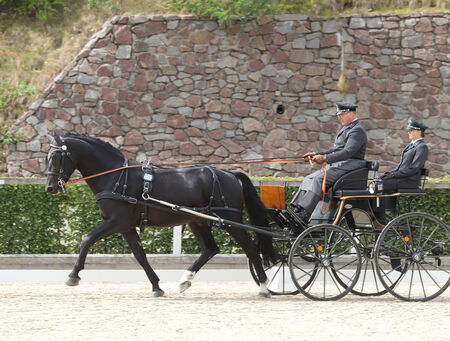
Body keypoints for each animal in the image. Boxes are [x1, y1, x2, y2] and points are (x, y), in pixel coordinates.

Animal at [44, 131, 274, 296]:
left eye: (57, 157)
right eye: (47, 157)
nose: (50, 188)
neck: (117, 177)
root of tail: (229, 174)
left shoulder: (117, 221)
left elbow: (87, 239)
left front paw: (73, 275)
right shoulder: (126, 226)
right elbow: (140, 255)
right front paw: (156, 286)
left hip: (230, 220)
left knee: (250, 248)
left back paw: (264, 286)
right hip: (198, 221)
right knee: (211, 249)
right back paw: (185, 281)